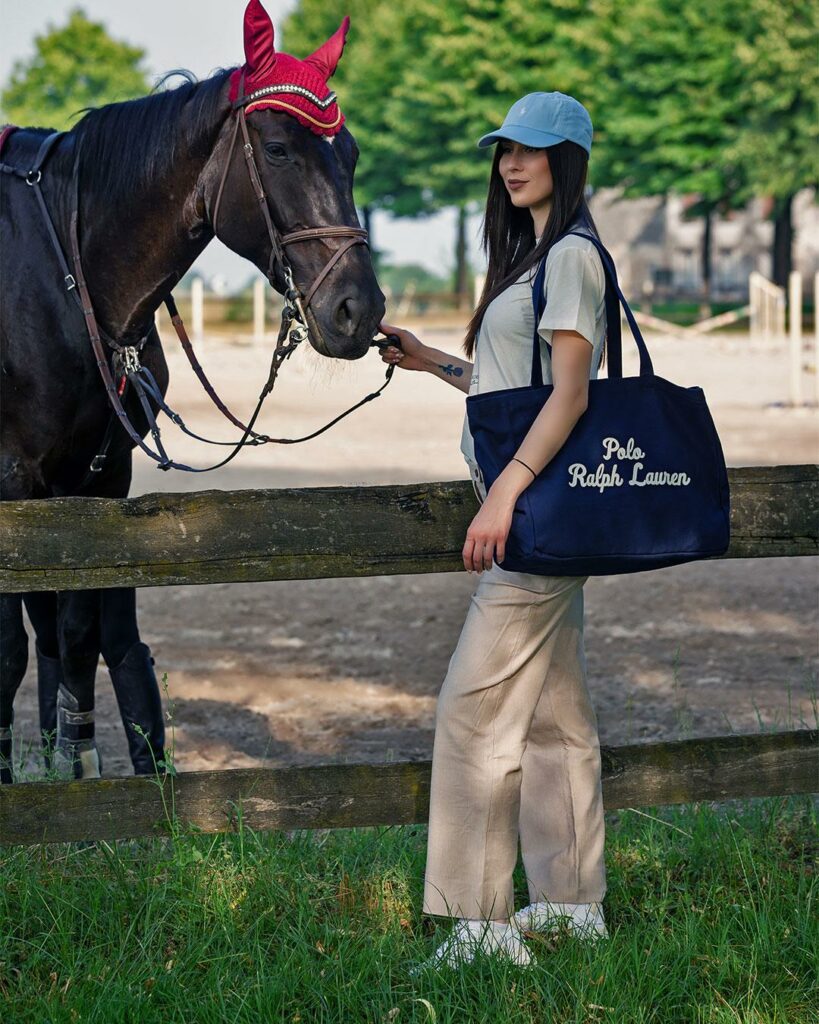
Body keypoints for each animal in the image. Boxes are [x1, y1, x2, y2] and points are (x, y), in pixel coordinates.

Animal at [0, 5, 385, 784]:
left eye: (352, 154)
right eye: (277, 149)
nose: (357, 309)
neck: (65, 267)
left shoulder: (92, 483)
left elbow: (76, 634)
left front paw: (75, 774)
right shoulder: (8, 476)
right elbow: (5, 653)